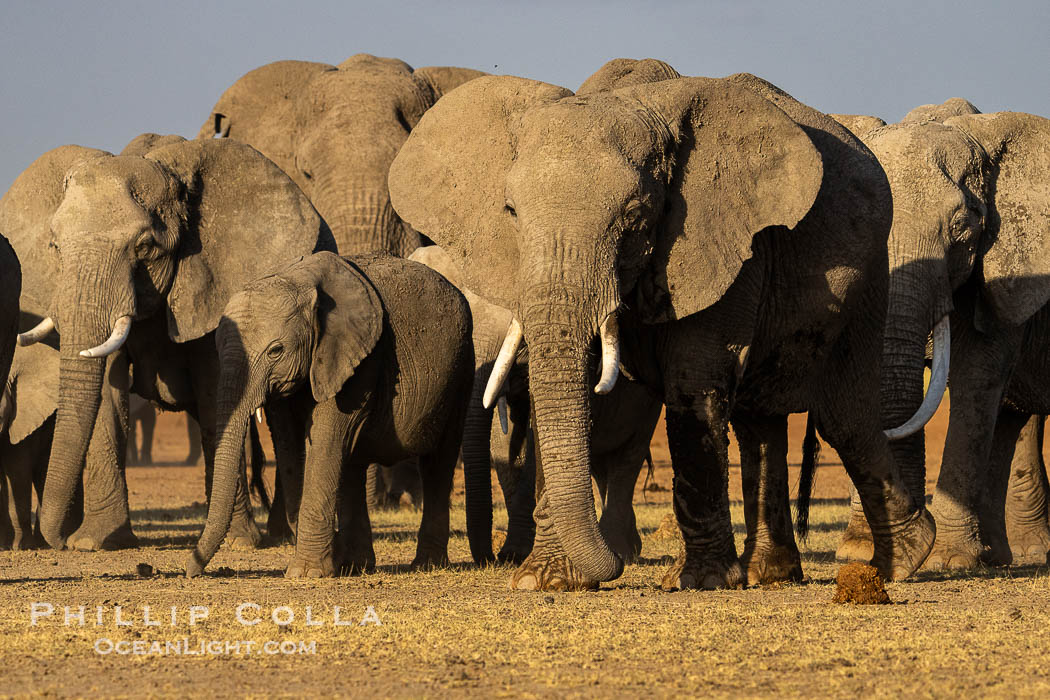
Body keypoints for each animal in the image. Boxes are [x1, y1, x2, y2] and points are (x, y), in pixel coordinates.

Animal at [0, 136, 333, 554]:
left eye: (144, 247)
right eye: (55, 246)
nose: (58, 541)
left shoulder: (217, 284)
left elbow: (215, 393)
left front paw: (238, 542)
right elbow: (107, 391)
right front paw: (96, 542)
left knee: (284, 419)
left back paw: (282, 534)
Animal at [184, 255, 472, 579]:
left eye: (275, 351)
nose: (190, 571)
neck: (300, 281)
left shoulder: (358, 360)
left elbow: (324, 440)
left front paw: (304, 574)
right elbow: (291, 442)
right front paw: (324, 564)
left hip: (461, 370)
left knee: (438, 463)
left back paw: (426, 564)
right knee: (353, 463)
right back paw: (355, 566)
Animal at [407, 243, 659, 566]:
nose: (489, 559)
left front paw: (514, 553)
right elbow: (502, 446)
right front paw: (514, 555)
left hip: (648, 402)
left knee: (628, 457)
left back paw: (624, 551)